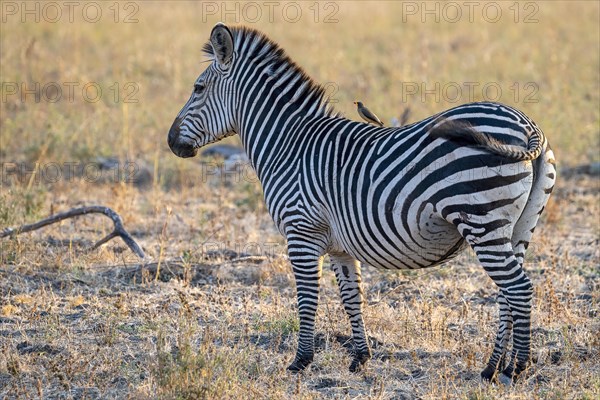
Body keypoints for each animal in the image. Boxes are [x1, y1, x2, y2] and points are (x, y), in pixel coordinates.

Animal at [166, 22, 556, 384]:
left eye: (198, 88)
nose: (171, 142)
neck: (289, 144)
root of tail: (527, 125)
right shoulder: (339, 245)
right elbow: (352, 297)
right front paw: (360, 358)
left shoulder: (301, 232)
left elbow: (307, 299)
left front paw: (300, 362)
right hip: (519, 227)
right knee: (507, 293)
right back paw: (493, 368)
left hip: (483, 220)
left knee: (518, 289)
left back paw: (516, 368)